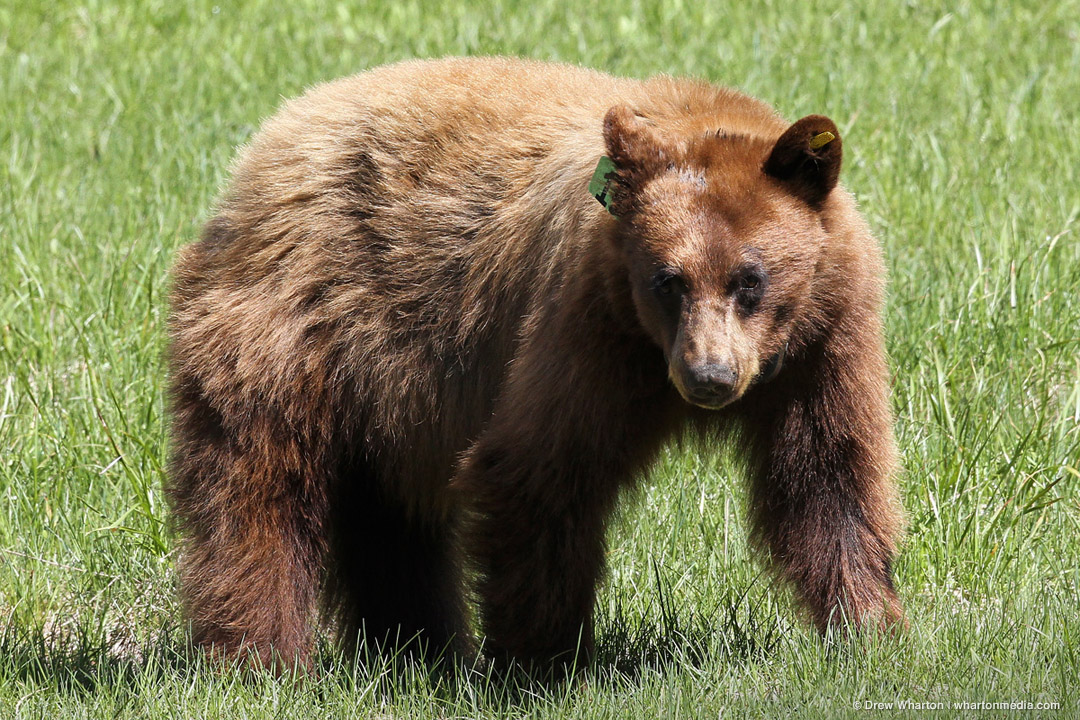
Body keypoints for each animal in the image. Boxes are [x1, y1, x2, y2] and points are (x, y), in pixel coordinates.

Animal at [162, 56, 902, 677]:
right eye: (667, 281)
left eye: (750, 279)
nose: (709, 379)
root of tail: (269, 141)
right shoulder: (584, 326)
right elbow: (542, 468)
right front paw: (540, 660)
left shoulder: (825, 341)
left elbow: (828, 473)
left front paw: (868, 626)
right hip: (293, 322)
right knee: (257, 486)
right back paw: (259, 655)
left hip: (393, 395)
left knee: (391, 517)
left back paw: (416, 648)